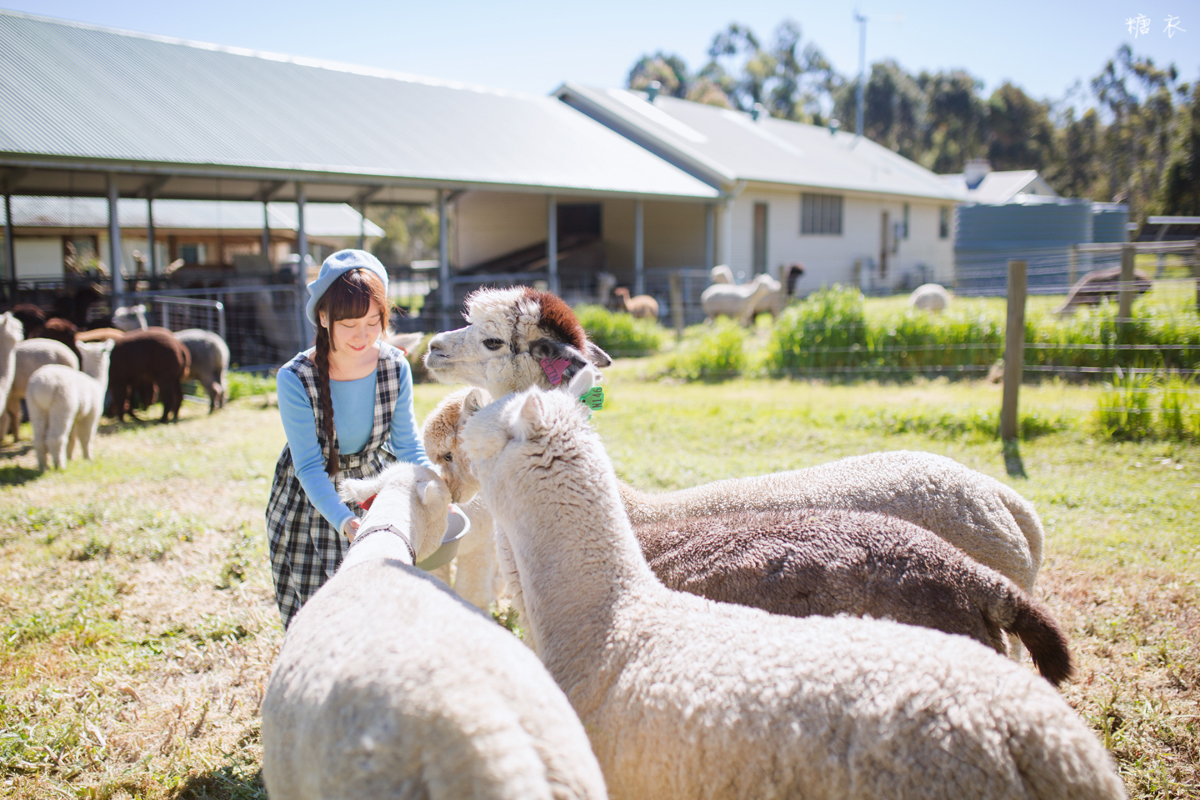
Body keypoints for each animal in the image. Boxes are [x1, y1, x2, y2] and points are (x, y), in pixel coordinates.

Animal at [27, 340, 115, 474]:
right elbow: (86, 437)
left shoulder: (76, 416)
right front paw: (89, 458)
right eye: (108, 350)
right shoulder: (91, 413)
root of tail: (42, 385)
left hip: (35, 406)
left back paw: (44, 467)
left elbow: (72, 438)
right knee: (56, 438)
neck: (96, 383)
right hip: (62, 403)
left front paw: (71, 458)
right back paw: (60, 466)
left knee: (39, 439)